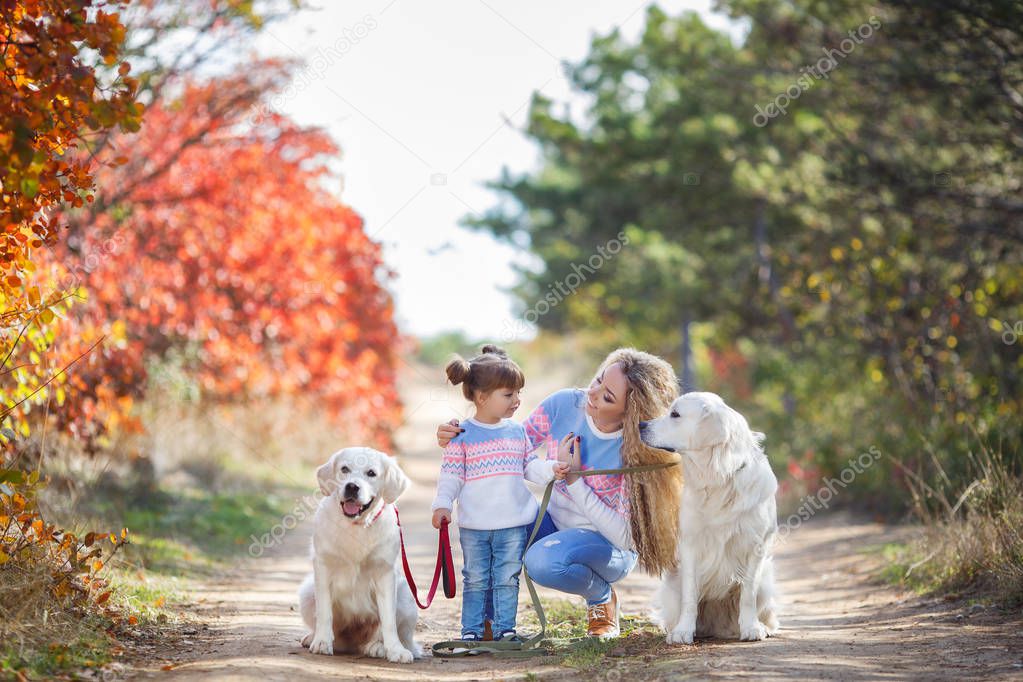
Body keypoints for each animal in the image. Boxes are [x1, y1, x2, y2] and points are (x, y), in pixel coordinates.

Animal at [298, 445, 421, 662]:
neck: (356, 526)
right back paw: (315, 637)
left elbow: (388, 620)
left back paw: (378, 646)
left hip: (406, 598)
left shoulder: (385, 573)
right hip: (307, 591)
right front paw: (321, 641)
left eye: (371, 473)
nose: (352, 487)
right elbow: (324, 612)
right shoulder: (323, 566)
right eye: (344, 469)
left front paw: (395, 650)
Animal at [638, 392, 781, 642]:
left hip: (766, 579)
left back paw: (763, 626)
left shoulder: (756, 546)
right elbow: (690, 596)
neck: (718, 479)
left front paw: (751, 627)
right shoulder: (690, 544)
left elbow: (748, 594)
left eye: (675, 414)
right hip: (672, 584)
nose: (641, 425)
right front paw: (683, 631)